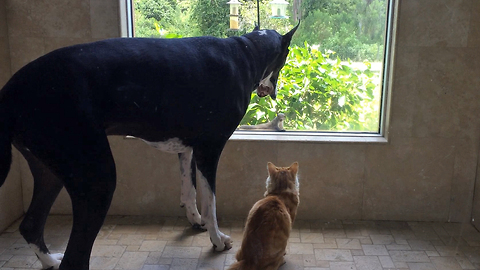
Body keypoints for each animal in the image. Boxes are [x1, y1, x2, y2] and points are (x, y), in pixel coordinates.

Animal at [0, 23, 296, 270]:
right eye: (287, 54)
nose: (270, 91)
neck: (246, 50)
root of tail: (10, 91)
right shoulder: (209, 149)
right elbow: (210, 200)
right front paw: (217, 239)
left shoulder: (187, 148)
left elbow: (189, 190)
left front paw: (195, 220)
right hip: (97, 179)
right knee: (75, 257)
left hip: (50, 170)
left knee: (31, 224)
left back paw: (49, 260)